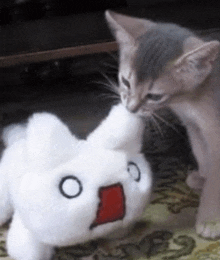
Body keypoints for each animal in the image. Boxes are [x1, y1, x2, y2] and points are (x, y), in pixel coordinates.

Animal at [105, 10, 220, 240]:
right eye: (126, 81)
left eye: (154, 96)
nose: (131, 108)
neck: (190, 100)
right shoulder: (194, 126)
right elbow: (202, 155)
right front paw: (202, 178)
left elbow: (216, 177)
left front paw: (211, 218)